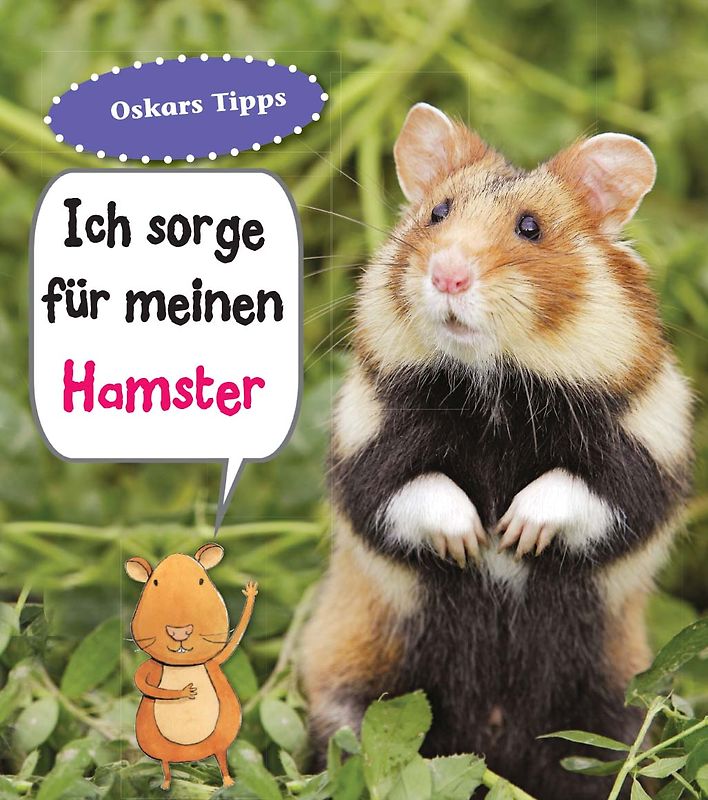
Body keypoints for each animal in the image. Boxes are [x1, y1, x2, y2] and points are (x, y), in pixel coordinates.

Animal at [125, 543, 258, 791]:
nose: (180, 632)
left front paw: (251, 593)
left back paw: (226, 780)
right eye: (155, 583)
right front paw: (184, 692)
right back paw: (167, 781)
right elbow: (143, 683)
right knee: (165, 761)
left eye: (201, 581)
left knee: (220, 754)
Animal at [300, 103, 693, 800]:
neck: (496, 382)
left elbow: (582, 488)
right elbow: (414, 490)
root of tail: (498, 750)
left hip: (610, 711)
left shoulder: (647, 451)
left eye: (530, 228)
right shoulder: (367, 444)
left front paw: (513, 537)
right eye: (437, 212)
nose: (447, 274)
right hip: (354, 686)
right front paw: (471, 543)